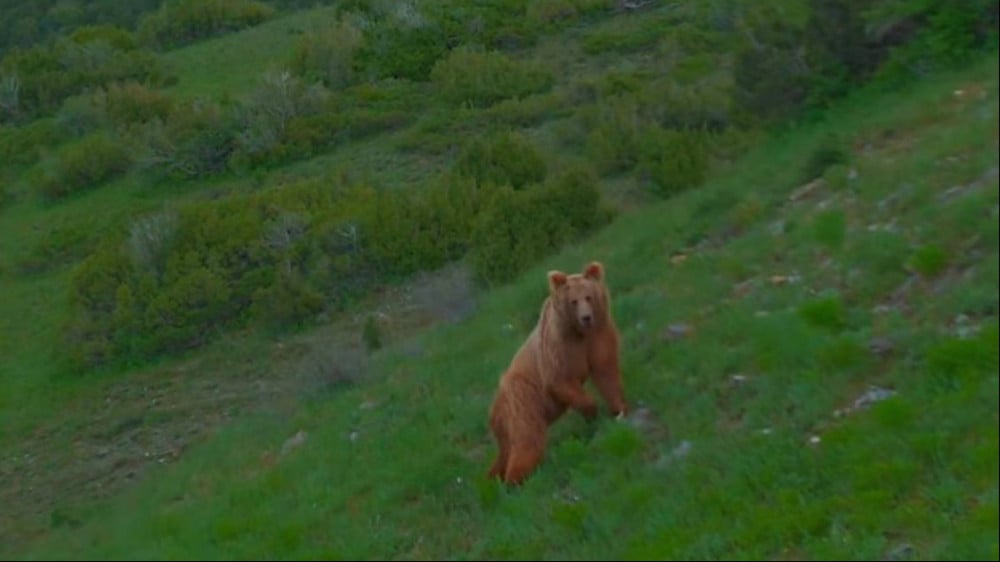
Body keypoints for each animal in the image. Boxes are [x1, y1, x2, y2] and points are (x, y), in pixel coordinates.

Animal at [486, 260, 624, 484]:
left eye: (589, 296)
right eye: (573, 301)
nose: (586, 317)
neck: (578, 332)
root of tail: (494, 411)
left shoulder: (598, 336)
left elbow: (606, 370)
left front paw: (619, 409)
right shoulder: (558, 349)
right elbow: (560, 380)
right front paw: (592, 410)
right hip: (522, 400)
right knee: (526, 437)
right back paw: (516, 477)